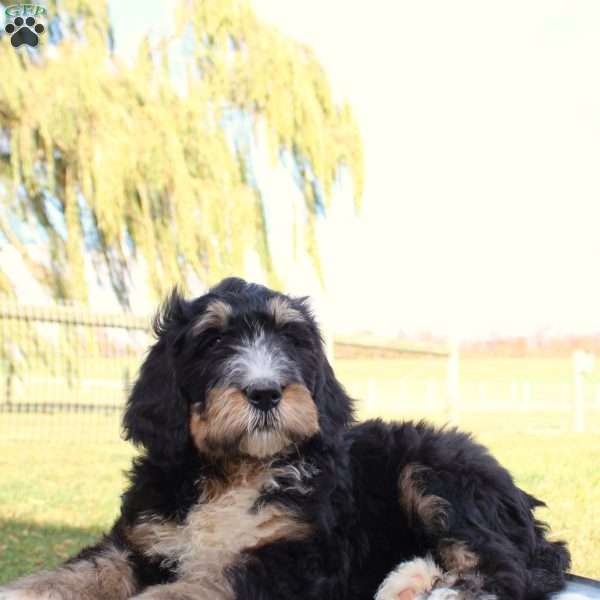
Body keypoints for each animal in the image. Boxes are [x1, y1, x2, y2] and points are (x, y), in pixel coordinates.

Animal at [1, 278, 572, 600]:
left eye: (293, 340)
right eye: (213, 340)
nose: (265, 391)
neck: (235, 471)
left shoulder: (299, 555)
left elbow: (203, 583)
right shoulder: (140, 540)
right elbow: (82, 571)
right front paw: (27, 591)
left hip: (435, 473)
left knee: (510, 570)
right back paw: (405, 582)